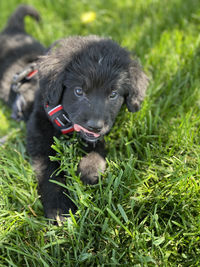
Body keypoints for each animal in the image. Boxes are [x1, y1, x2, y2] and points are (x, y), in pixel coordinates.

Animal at [26, 36, 148, 224]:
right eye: (78, 91)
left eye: (113, 94)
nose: (94, 125)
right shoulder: (38, 136)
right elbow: (48, 173)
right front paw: (58, 209)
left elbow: (98, 148)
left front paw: (89, 171)